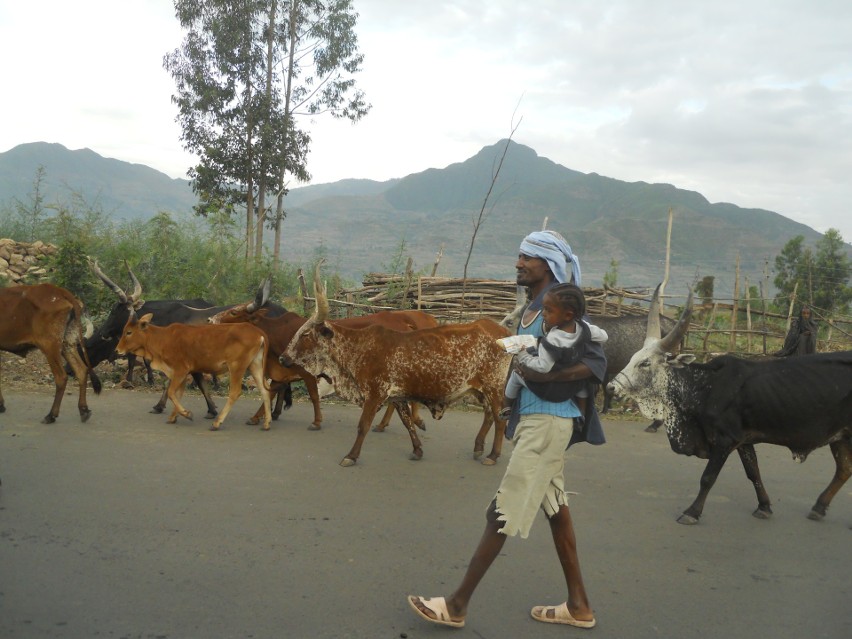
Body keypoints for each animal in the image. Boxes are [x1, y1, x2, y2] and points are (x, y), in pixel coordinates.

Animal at [0, 282, 102, 422]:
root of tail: (60, 291)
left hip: (49, 346)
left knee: (61, 377)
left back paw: (51, 415)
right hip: (67, 344)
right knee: (81, 370)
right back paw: (83, 410)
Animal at [116, 312, 268, 430]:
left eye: (128, 332)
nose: (117, 350)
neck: (162, 338)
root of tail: (258, 333)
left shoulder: (181, 370)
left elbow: (171, 392)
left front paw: (186, 414)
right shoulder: (181, 374)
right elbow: (177, 394)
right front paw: (174, 416)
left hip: (236, 367)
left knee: (235, 392)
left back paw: (217, 423)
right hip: (254, 366)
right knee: (265, 390)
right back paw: (266, 423)